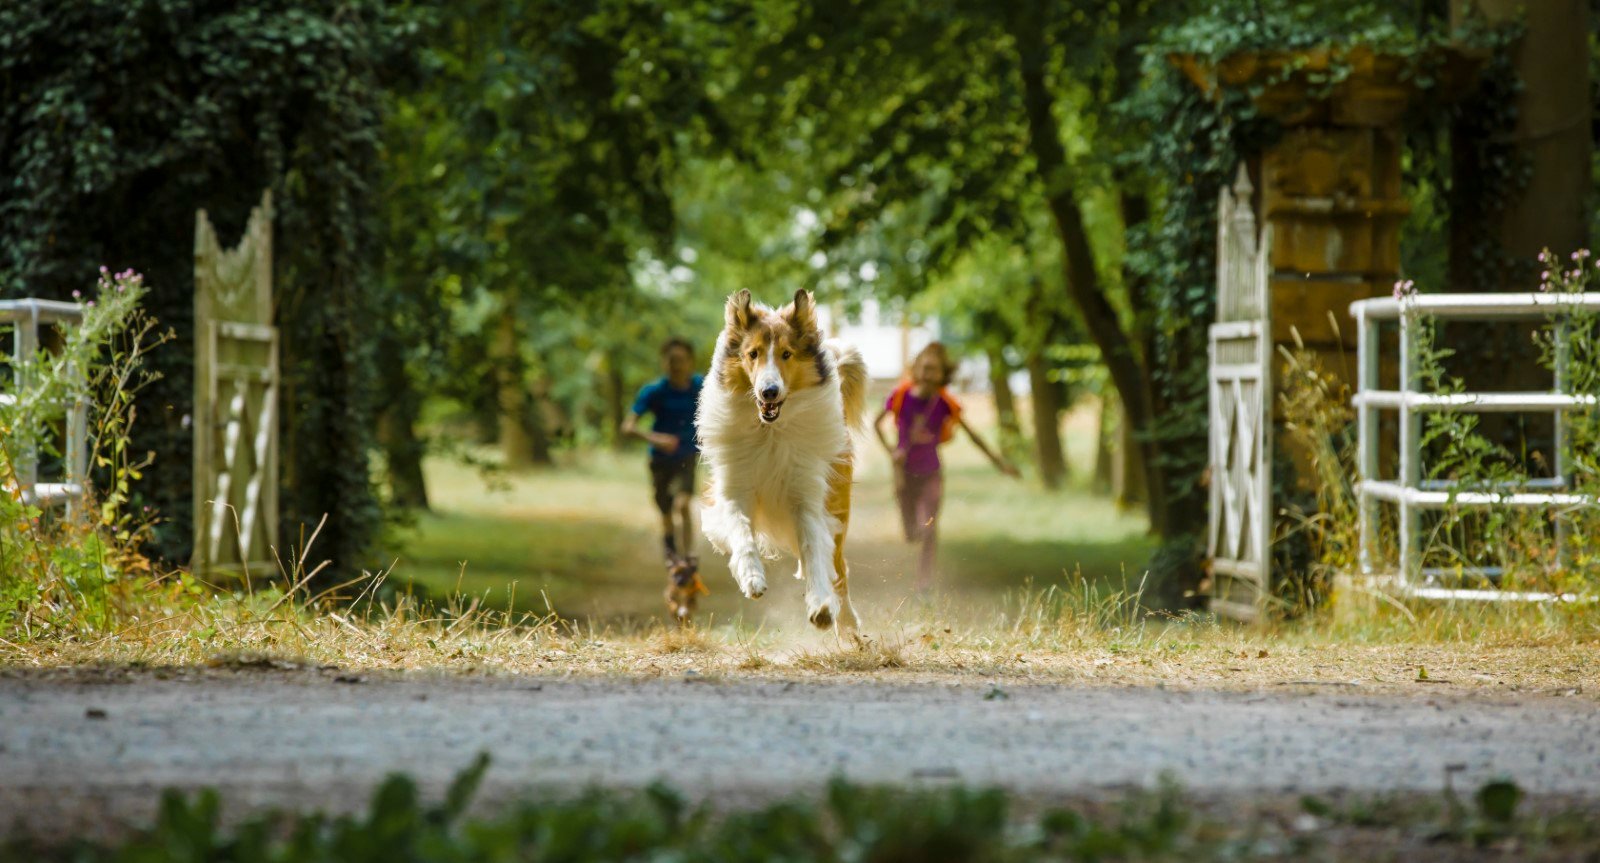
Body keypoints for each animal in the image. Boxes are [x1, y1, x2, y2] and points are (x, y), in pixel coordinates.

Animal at [700, 289, 870, 634]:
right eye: (752, 353)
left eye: (787, 354)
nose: (769, 391)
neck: (770, 431)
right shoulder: (734, 490)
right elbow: (741, 533)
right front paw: (752, 578)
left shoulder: (806, 497)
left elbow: (815, 550)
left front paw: (821, 605)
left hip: (837, 509)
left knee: (839, 569)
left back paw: (847, 622)